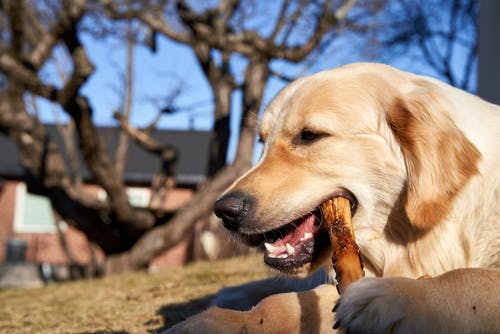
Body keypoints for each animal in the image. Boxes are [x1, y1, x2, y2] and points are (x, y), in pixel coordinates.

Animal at [169, 63, 500, 334]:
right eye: (262, 142)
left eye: (310, 135)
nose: (223, 211)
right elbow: (280, 303)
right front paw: (218, 322)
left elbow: (470, 277)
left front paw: (394, 296)